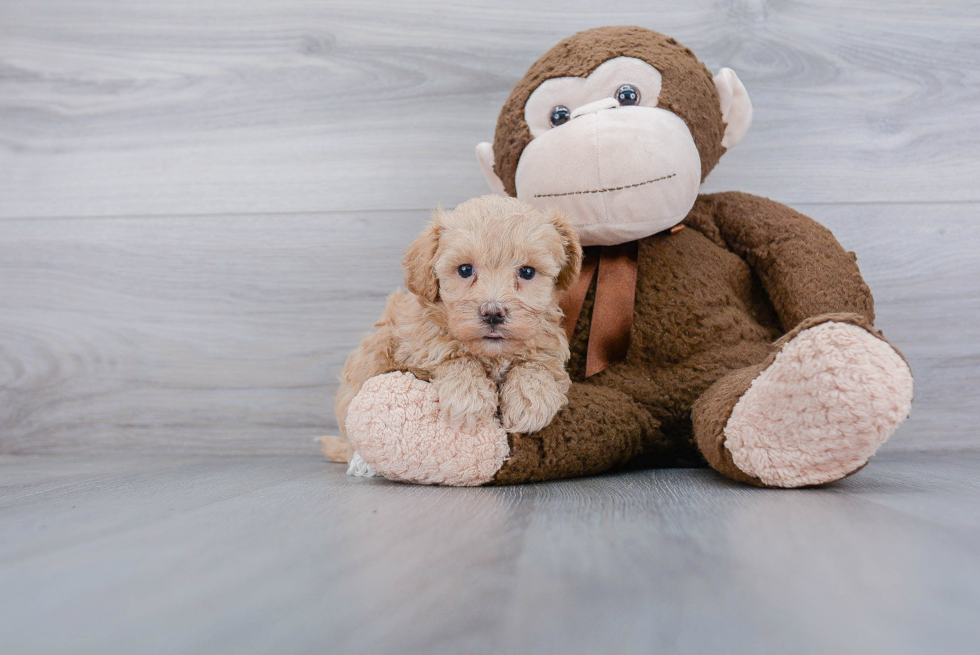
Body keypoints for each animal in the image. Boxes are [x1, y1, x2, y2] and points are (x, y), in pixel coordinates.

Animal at [336, 192, 580, 454]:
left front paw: (531, 397)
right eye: (464, 270)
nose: (493, 313)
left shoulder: (547, 344)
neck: (493, 355)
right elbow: (452, 356)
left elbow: (537, 364)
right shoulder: (412, 346)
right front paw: (469, 395)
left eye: (527, 272)